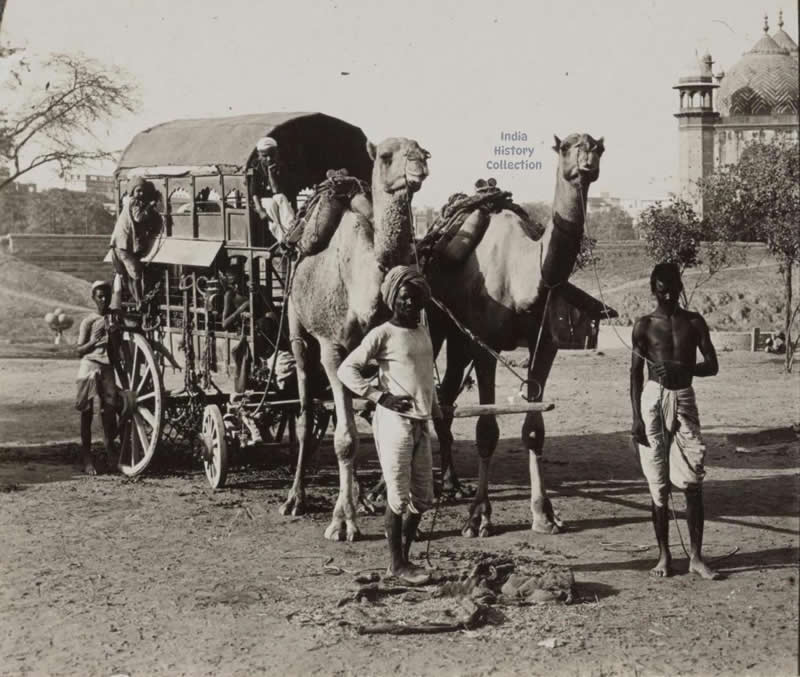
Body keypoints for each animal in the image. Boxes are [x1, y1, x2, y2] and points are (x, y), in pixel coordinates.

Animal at [280, 137, 431, 542]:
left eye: (422, 150)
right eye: (386, 156)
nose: (419, 167)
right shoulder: (332, 349)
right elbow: (346, 440)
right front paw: (342, 522)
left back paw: (360, 498)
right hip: (297, 327)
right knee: (306, 413)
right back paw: (295, 498)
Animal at [427, 133, 604, 537]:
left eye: (598, 147)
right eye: (567, 146)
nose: (587, 163)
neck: (522, 277)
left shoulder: (546, 346)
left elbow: (534, 427)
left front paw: (544, 514)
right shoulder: (486, 346)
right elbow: (486, 428)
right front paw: (479, 517)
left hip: (459, 338)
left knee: (446, 396)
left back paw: (451, 483)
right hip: (438, 326)